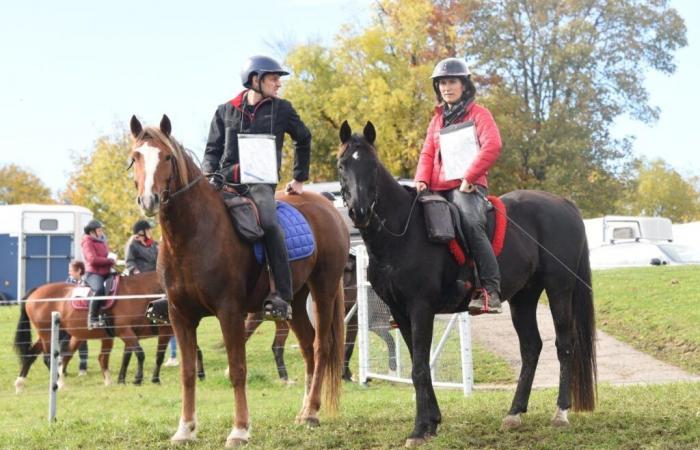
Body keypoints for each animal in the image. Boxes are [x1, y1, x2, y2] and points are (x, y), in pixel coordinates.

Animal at [13, 270, 200, 390]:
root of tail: (36, 291)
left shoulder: (138, 333)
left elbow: (137, 356)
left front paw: (129, 380)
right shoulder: (127, 332)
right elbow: (140, 354)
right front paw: (138, 379)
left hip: (56, 334)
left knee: (33, 354)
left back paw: (22, 383)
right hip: (49, 333)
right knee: (48, 358)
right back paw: (58, 383)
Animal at [129, 115, 348, 446]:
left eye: (166, 156)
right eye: (136, 156)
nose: (149, 199)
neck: (191, 235)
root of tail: (326, 206)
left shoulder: (229, 312)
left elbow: (237, 369)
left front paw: (240, 429)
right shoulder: (180, 315)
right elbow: (188, 373)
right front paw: (185, 429)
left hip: (323, 291)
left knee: (321, 346)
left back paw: (311, 412)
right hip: (295, 303)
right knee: (308, 348)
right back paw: (305, 410)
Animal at [338, 120, 596, 446]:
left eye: (372, 165)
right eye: (342, 164)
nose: (359, 211)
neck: (402, 234)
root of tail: (563, 203)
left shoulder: (421, 309)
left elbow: (419, 368)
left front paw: (419, 429)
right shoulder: (400, 312)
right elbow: (420, 365)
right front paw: (432, 422)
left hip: (559, 289)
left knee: (564, 344)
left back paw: (561, 412)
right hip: (523, 297)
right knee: (531, 348)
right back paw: (514, 413)